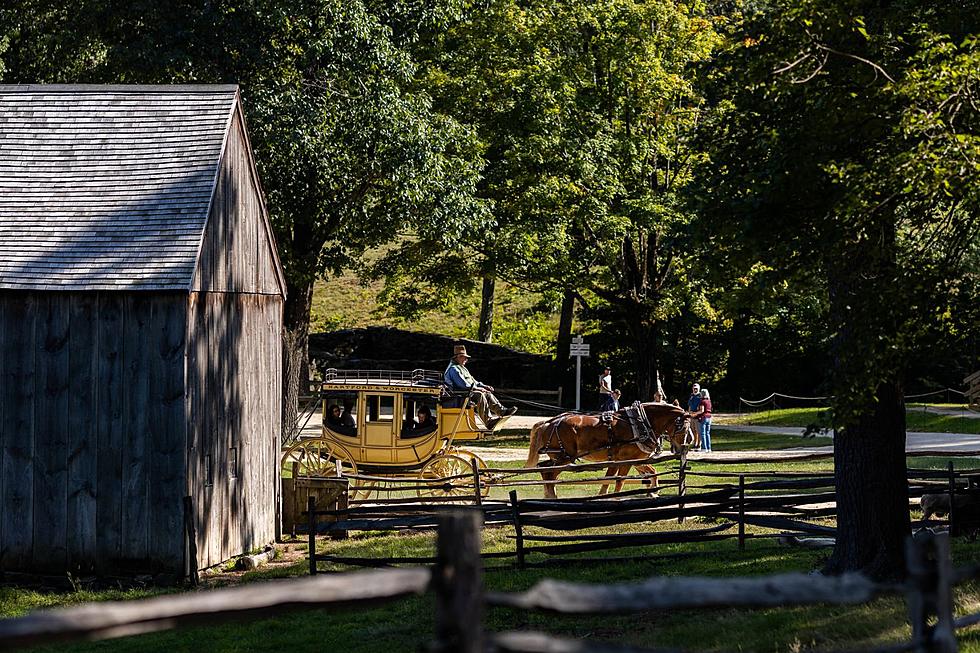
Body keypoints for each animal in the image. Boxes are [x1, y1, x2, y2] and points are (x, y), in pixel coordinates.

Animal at [524, 400, 692, 496]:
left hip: (559, 458)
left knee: (546, 472)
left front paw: (653, 492)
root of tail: (549, 422)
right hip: (565, 458)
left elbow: (652, 472)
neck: (640, 423)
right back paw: (551, 497)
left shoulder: (636, 460)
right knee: (549, 474)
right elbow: (618, 480)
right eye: (683, 427)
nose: (686, 444)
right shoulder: (625, 460)